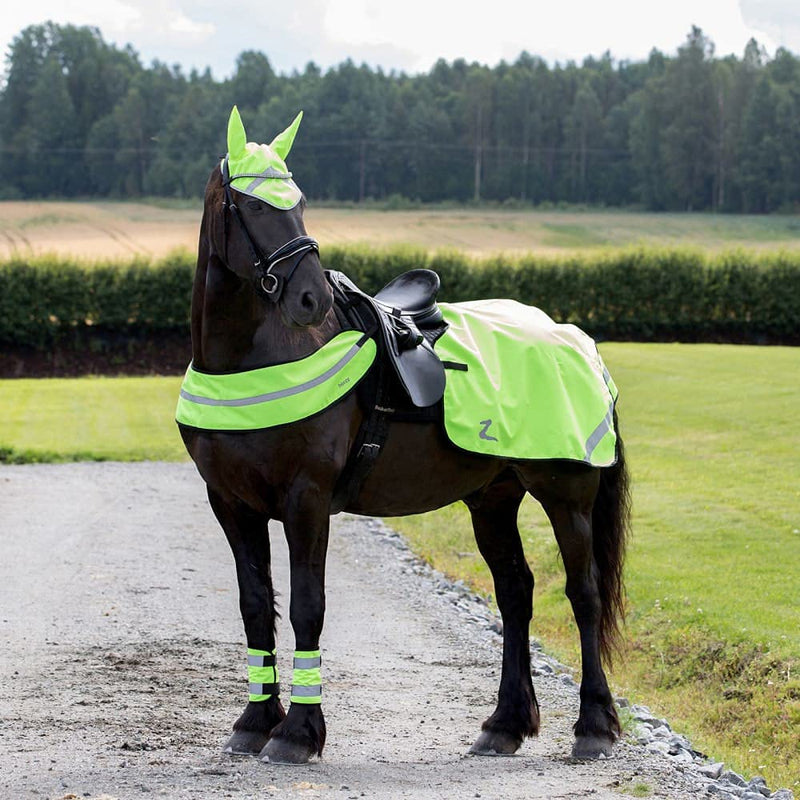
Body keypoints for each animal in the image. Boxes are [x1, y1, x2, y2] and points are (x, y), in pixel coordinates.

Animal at [178, 107, 630, 765]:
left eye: (300, 201)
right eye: (254, 205)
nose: (310, 299)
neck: (255, 358)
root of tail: (577, 341)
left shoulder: (306, 501)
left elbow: (307, 606)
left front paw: (297, 734)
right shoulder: (233, 504)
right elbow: (256, 607)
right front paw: (255, 722)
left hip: (565, 496)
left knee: (583, 594)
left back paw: (593, 726)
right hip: (493, 499)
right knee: (516, 592)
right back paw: (505, 724)